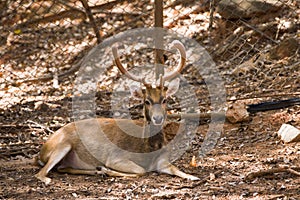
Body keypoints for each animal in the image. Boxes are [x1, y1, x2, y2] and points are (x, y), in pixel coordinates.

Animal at [34, 40, 199, 184]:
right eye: (146, 101)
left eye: (164, 99)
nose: (158, 118)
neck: (147, 150)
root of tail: (41, 152)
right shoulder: (115, 157)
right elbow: (140, 171)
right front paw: (106, 169)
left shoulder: (163, 160)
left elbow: (177, 169)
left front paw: (194, 176)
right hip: (62, 144)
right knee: (41, 173)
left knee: (62, 168)